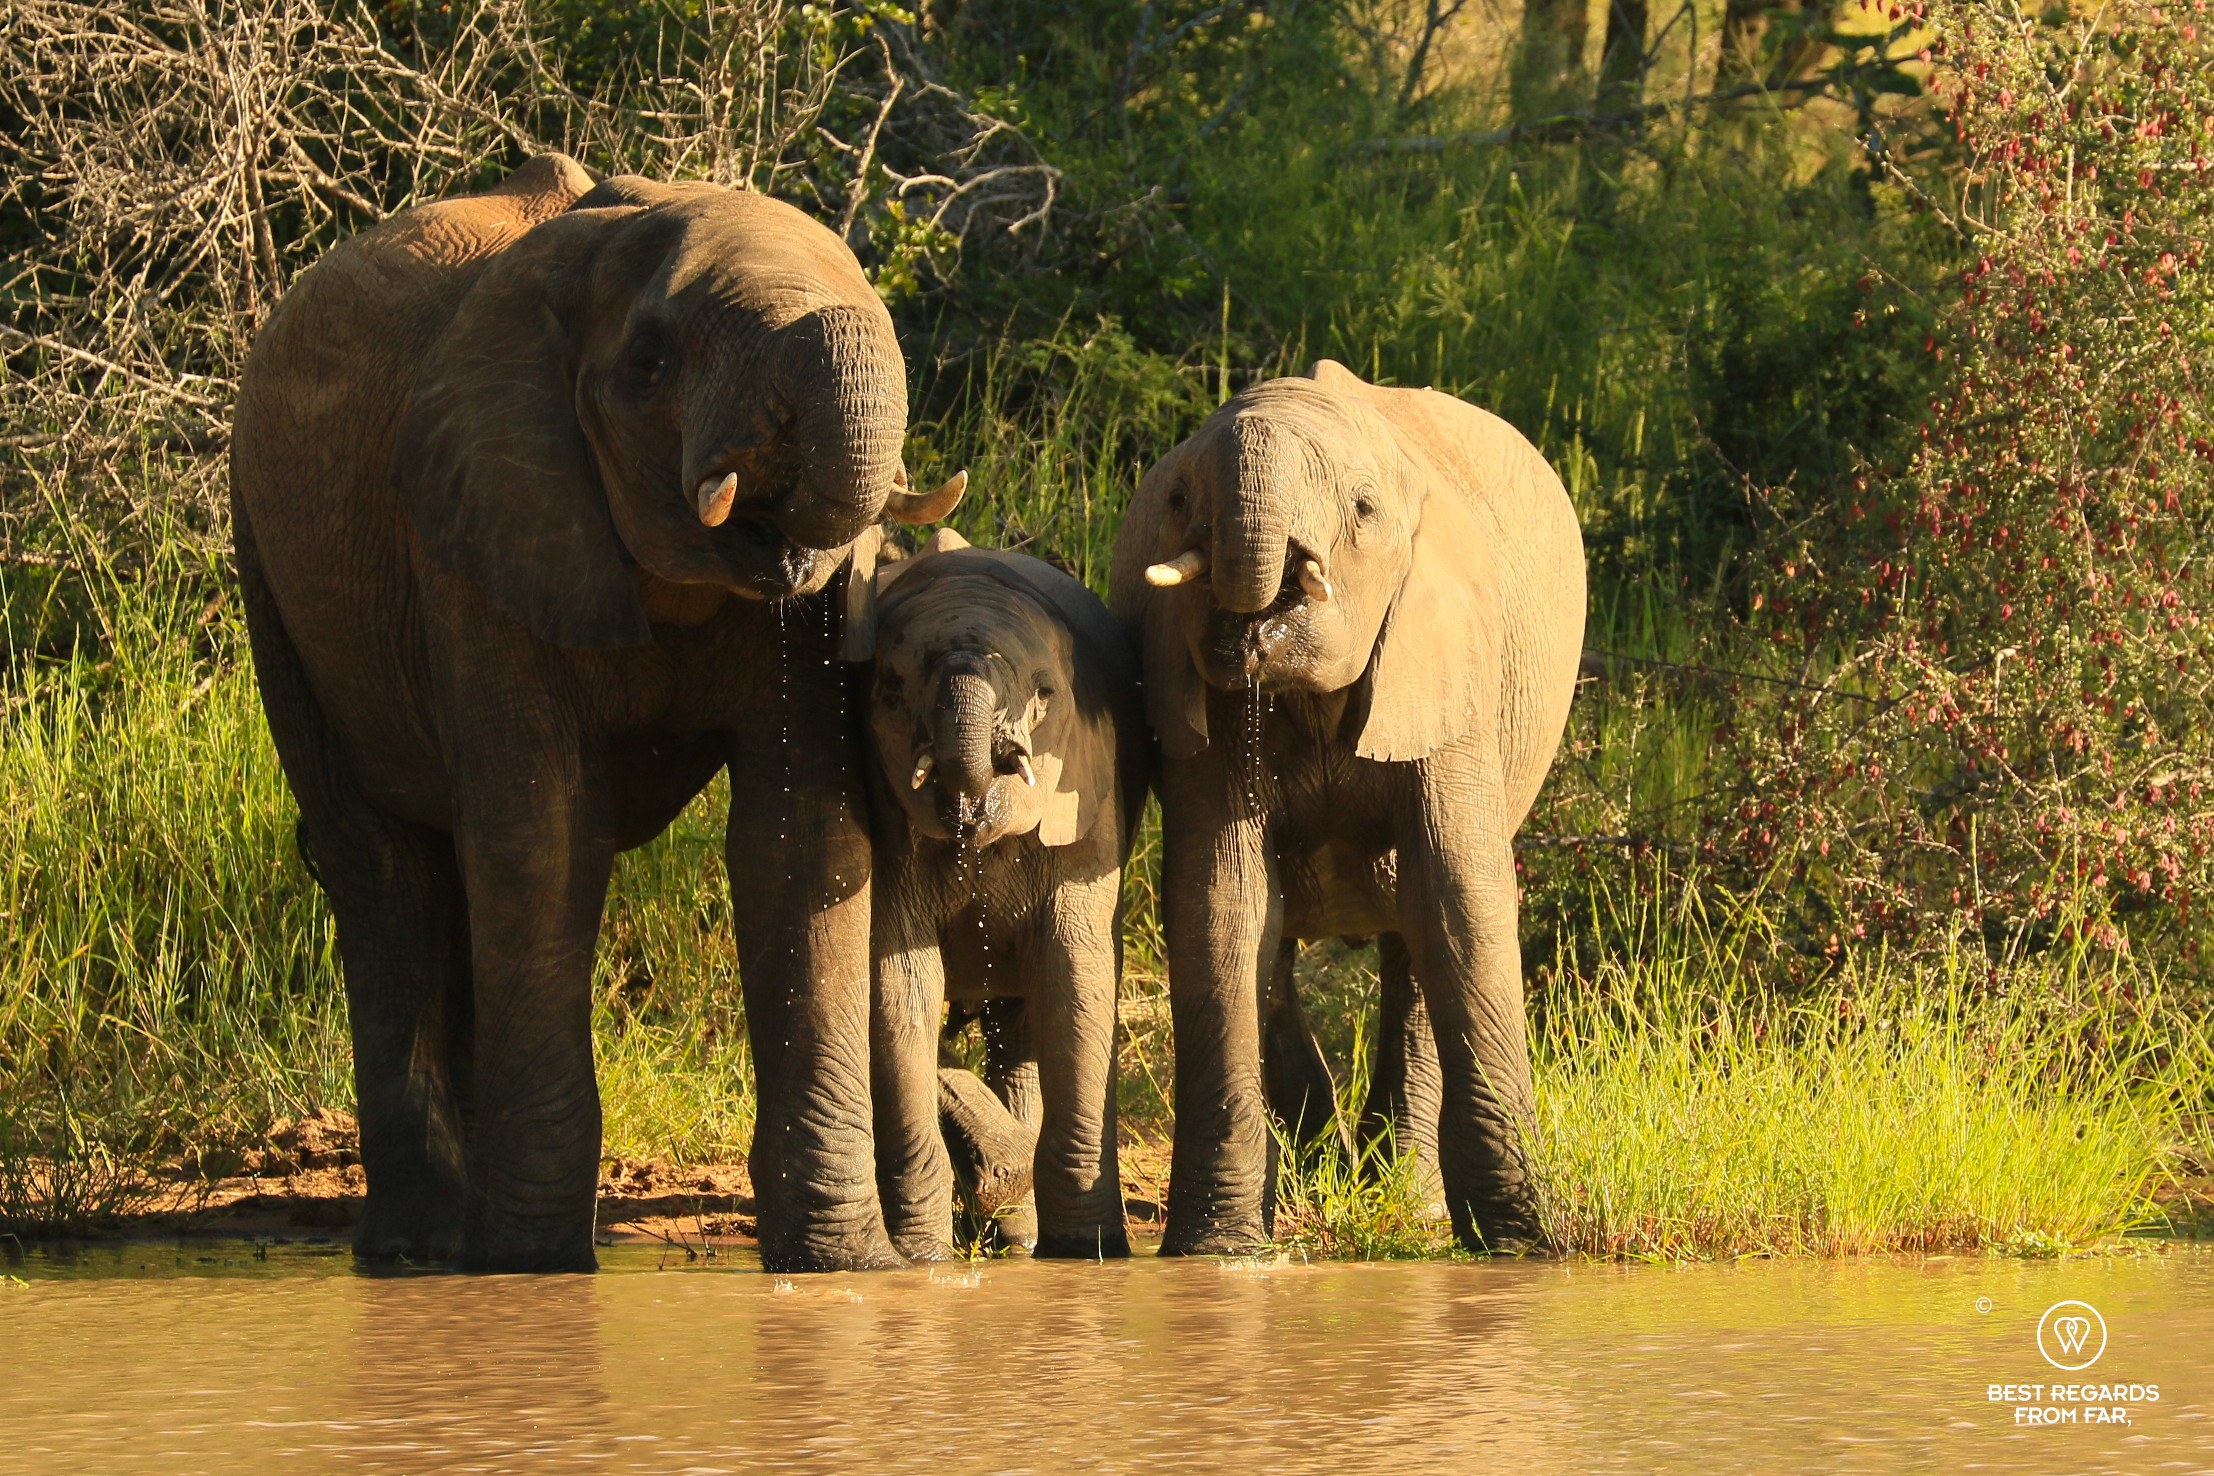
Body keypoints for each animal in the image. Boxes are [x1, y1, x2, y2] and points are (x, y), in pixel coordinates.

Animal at [229, 154, 965, 1273]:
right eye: (650, 364)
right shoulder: (478, 520)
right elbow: (544, 839)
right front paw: (530, 1274)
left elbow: (799, 838)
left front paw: (847, 1270)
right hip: (269, 568)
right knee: (384, 873)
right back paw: (420, 1248)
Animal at [854, 528, 1144, 1261]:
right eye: (891, 688)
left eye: (1045, 693)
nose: (967, 811)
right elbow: (900, 987)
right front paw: (920, 1257)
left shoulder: (1089, 808)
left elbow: (1075, 980)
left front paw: (1087, 1253)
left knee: (1021, 1034)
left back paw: (1019, 1232)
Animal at [1107, 358, 1585, 1256]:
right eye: (1179, 499)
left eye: (1363, 511)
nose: (1258, 617)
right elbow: (1223, 902)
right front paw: (1216, 1253)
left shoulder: (1448, 664)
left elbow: (1458, 900)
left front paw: (1527, 1247)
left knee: (1413, 945)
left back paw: (1406, 1197)